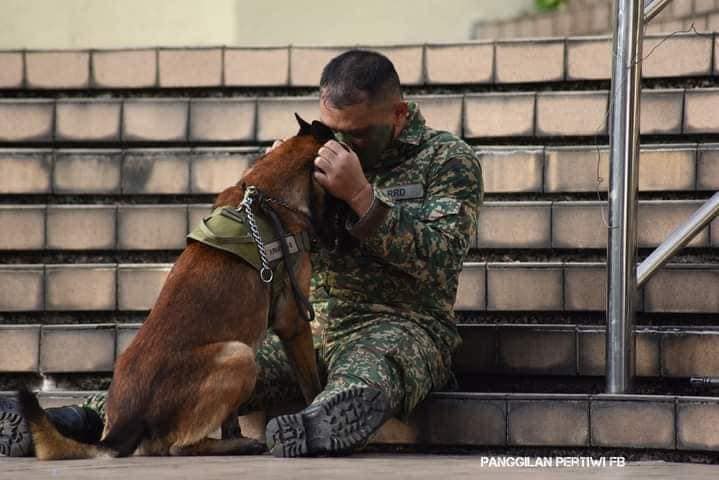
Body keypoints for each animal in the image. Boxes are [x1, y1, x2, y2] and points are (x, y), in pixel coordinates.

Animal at [16, 114, 338, 460]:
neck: (269, 193)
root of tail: (125, 422)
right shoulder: (294, 321)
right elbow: (311, 383)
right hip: (238, 354)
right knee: (179, 447)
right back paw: (235, 445)